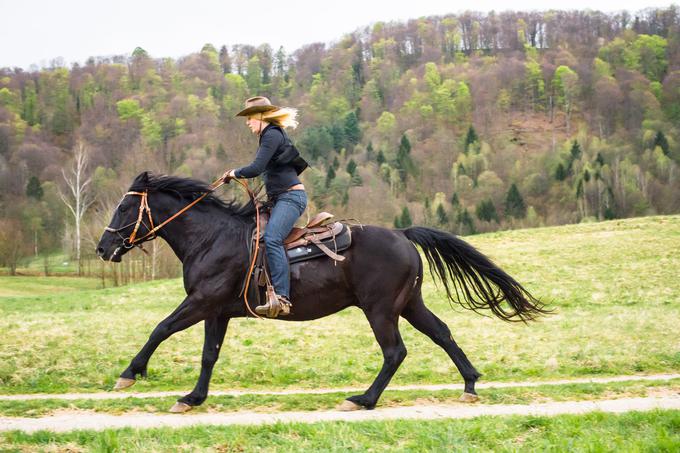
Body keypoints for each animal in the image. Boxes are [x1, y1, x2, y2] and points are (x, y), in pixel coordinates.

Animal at [95, 171, 548, 412]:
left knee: (395, 352)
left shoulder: (201, 302)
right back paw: (469, 384)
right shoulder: (217, 311)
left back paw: (363, 399)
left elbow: (161, 328)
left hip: (380, 309)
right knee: (442, 334)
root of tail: (403, 234)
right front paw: (193, 397)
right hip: (409, 304)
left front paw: (129, 374)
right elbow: (209, 355)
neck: (211, 237)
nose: (103, 248)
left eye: (124, 207)